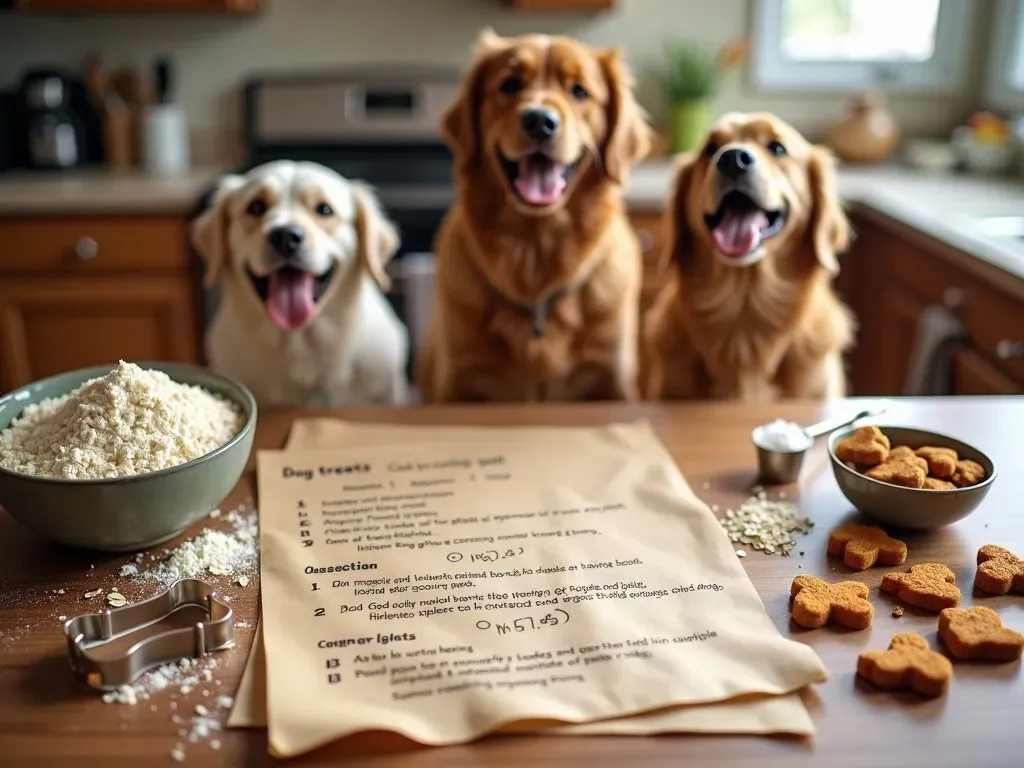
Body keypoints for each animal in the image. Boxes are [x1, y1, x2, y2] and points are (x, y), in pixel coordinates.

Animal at [417, 30, 651, 403]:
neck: (535, 251)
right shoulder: (459, 381)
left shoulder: (611, 380)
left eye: (579, 91)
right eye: (510, 84)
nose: (540, 121)